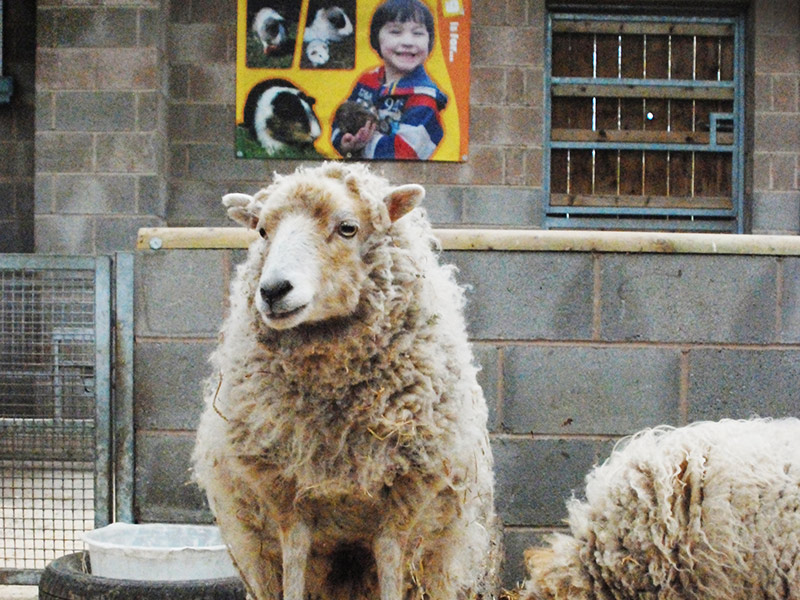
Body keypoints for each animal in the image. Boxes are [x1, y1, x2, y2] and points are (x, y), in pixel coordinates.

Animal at [191, 163, 496, 600]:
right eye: (263, 231)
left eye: (348, 228)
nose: (273, 290)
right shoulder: (289, 508)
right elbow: (293, 577)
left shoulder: (399, 514)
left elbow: (391, 579)